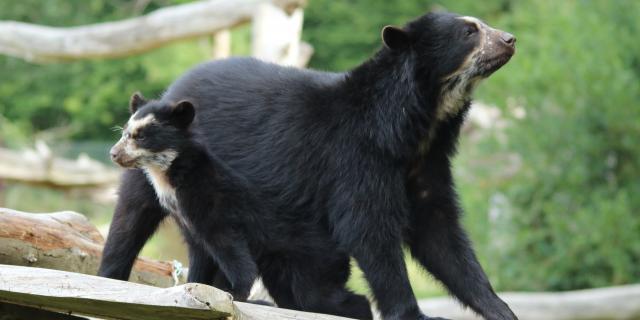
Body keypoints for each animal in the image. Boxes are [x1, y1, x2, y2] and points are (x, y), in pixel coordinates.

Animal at [101, 11, 520, 320]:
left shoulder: (425, 162)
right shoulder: (356, 157)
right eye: (469, 31)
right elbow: (367, 228)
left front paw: (500, 309)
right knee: (131, 218)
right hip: (168, 175)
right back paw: (114, 277)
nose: (510, 39)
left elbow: (439, 232)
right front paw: (412, 312)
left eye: (480, 25)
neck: (418, 123)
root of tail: (175, 86)